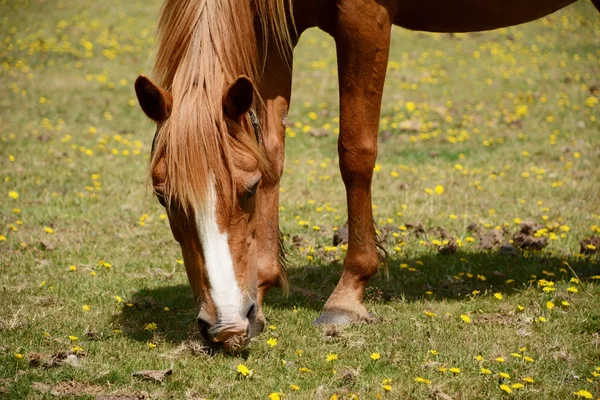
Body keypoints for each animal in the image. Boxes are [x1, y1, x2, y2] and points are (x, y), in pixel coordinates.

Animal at [134, 0, 596, 350]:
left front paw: (347, 295)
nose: (227, 326)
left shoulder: (365, 17)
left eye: (247, 191)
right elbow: (271, 152)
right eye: (163, 197)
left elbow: (355, 151)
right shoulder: (274, 38)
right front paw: (261, 294)